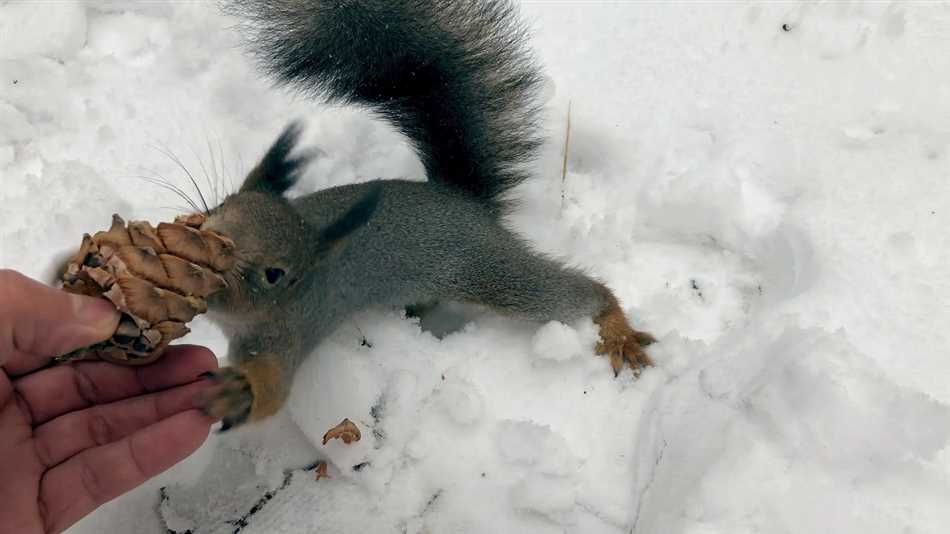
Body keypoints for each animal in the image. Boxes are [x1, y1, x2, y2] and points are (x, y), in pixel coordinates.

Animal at [197, 0, 660, 432]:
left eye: (274, 275)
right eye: (215, 209)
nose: (212, 250)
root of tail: (462, 199)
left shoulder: (289, 331)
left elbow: (273, 389)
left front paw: (239, 392)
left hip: (484, 267)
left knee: (565, 292)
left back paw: (615, 328)